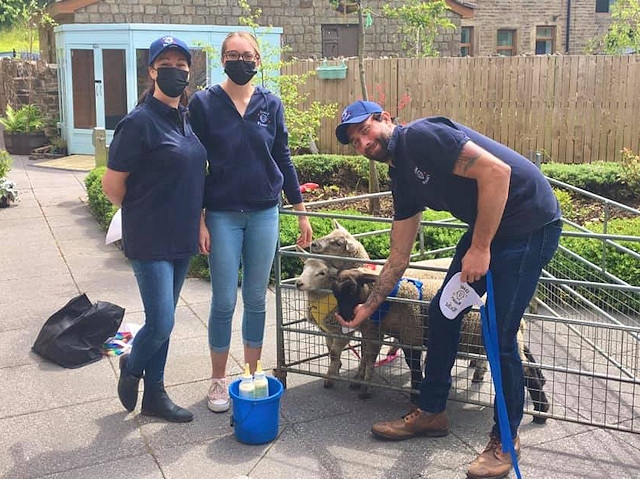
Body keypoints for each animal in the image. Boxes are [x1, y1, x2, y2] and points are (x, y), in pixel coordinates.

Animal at [332, 270, 548, 424]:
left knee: (527, 373)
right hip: (512, 341)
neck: (391, 299)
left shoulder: (412, 334)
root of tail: (520, 319)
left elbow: (414, 367)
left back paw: (541, 412)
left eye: (351, 288)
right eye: (335, 293)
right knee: (529, 362)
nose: (344, 316)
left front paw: (416, 395)